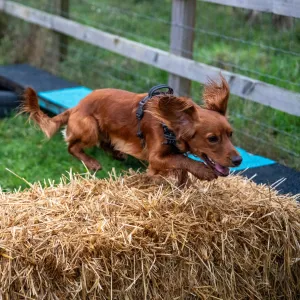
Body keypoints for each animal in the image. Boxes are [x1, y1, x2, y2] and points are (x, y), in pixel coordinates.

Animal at [21, 75, 241, 185]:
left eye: (231, 134)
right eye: (212, 138)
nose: (239, 160)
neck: (168, 123)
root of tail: (75, 107)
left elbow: (181, 164)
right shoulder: (156, 158)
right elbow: (182, 160)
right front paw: (203, 171)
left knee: (104, 143)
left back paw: (117, 154)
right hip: (90, 126)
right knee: (72, 147)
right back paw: (92, 163)